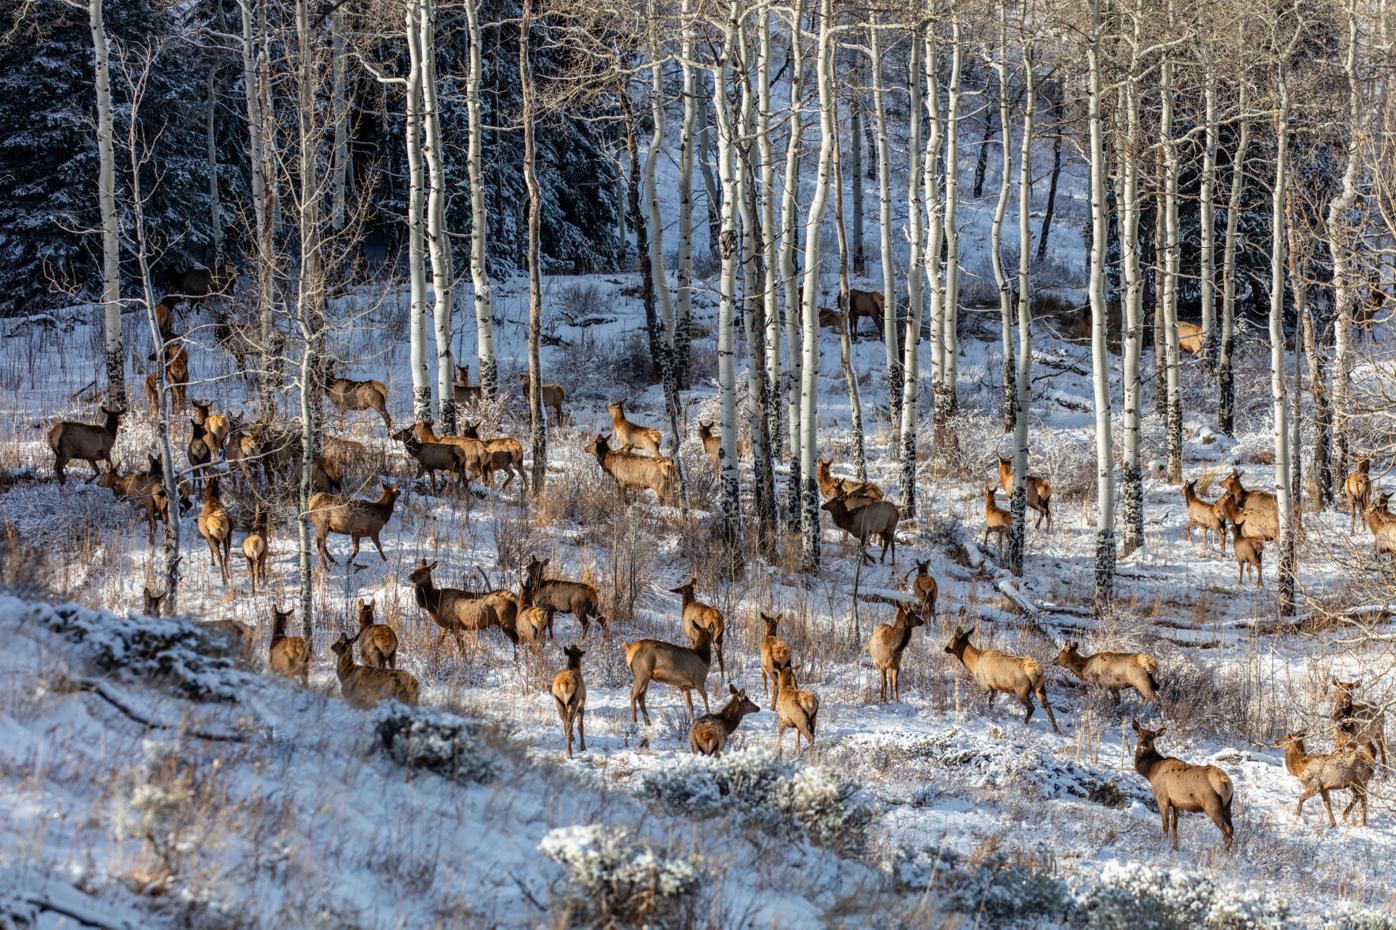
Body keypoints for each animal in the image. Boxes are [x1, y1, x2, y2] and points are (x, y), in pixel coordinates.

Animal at [1132, 720, 1234, 850]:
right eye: (1140, 733)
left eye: (1152, 736)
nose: (1143, 744)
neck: (1151, 772)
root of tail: (1225, 781)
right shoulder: (1176, 803)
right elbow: (1175, 825)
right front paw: (1175, 847)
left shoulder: (1162, 798)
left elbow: (1165, 825)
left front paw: (1163, 845)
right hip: (1228, 804)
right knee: (1232, 828)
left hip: (1211, 803)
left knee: (1226, 829)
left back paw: (1226, 852)